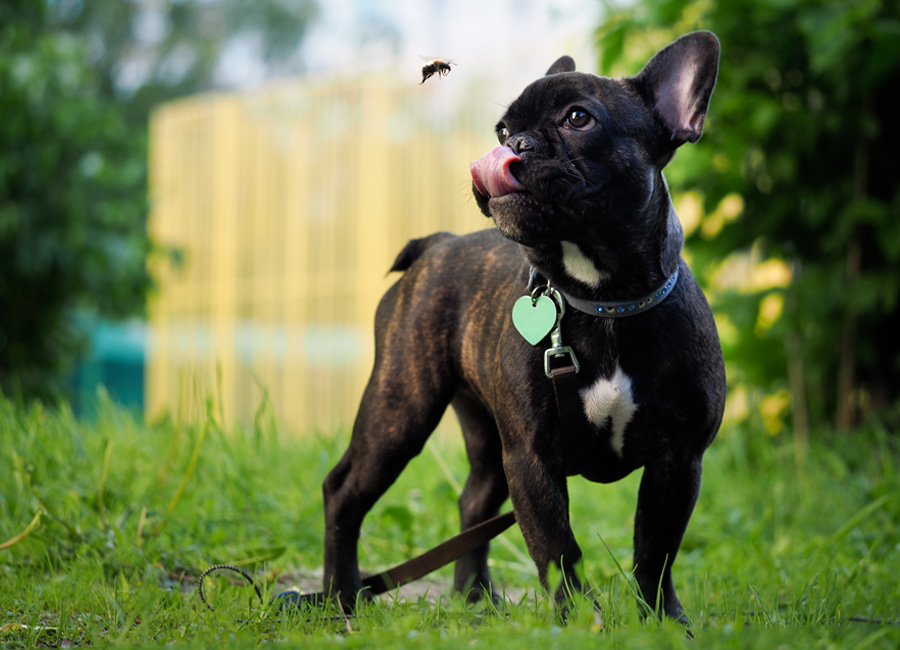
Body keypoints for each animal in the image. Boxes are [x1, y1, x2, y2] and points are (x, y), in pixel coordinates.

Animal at [318, 31, 724, 624]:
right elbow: (558, 549)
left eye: (578, 118)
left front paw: (663, 622)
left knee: (474, 502)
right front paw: (580, 623)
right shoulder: (533, 457)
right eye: (503, 130)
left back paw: (474, 598)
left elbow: (656, 551)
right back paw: (339, 594)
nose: (518, 144)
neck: (604, 301)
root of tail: (437, 244)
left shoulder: (679, 460)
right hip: (400, 408)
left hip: (486, 436)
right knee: (343, 491)